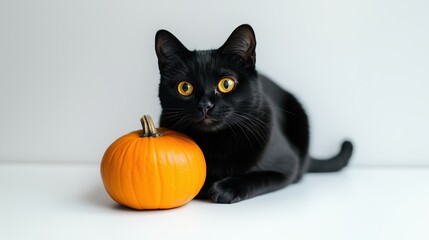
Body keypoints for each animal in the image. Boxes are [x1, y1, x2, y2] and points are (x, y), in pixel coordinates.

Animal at [153, 24, 352, 203]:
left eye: (226, 84)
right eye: (185, 88)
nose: (205, 105)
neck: (218, 142)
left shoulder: (286, 167)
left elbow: (257, 177)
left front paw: (226, 188)